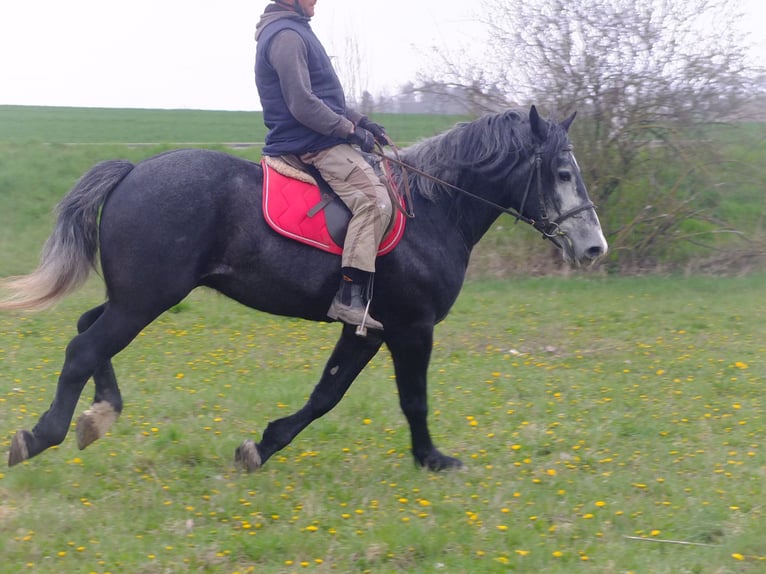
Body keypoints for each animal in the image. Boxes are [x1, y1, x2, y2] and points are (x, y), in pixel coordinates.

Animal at [2, 105, 607, 471]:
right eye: (561, 173)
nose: (593, 247)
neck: (435, 208)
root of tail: (131, 171)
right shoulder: (410, 328)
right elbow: (413, 399)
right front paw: (433, 459)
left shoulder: (369, 330)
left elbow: (325, 394)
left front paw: (262, 445)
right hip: (145, 300)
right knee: (84, 347)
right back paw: (41, 435)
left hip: (134, 297)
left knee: (87, 330)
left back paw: (98, 416)